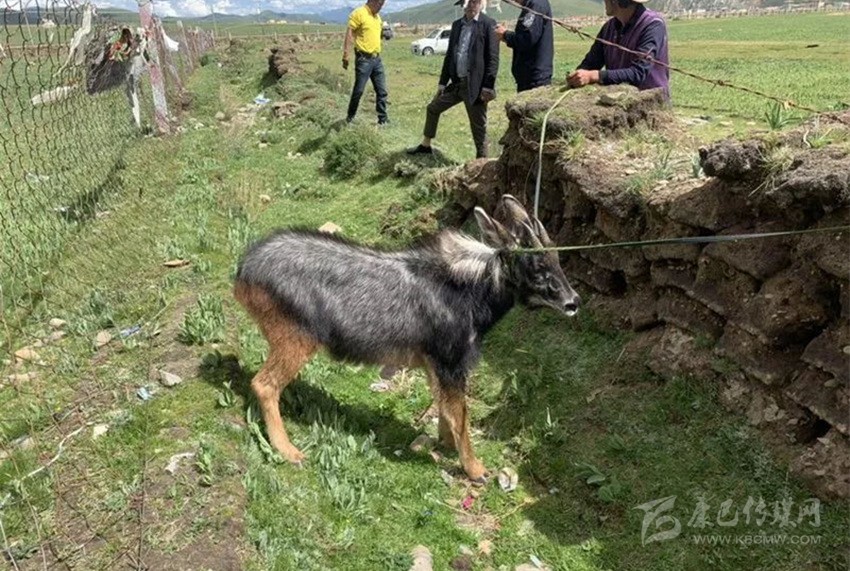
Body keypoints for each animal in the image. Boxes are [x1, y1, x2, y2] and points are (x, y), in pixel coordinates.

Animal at [234, 194, 580, 483]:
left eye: (556, 257)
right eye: (536, 264)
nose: (572, 302)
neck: (469, 294)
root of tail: (244, 271)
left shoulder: (433, 363)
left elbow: (443, 406)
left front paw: (445, 444)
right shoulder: (450, 360)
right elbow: (459, 413)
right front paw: (475, 469)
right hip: (296, 337)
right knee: (264, 384)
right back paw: (288, 449)